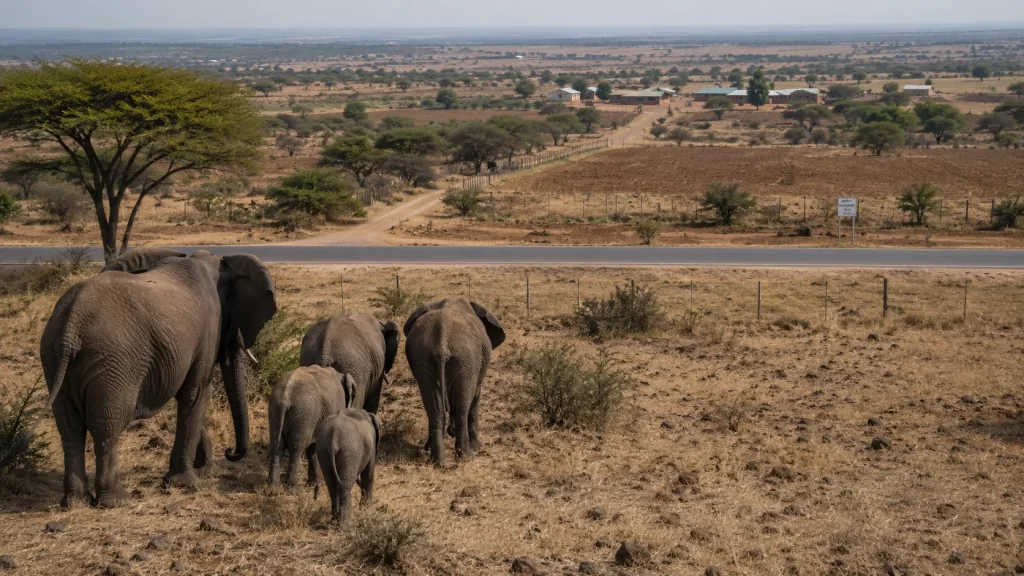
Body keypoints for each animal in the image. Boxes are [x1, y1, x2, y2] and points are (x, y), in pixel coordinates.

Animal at [39, 247, 277, 508]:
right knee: (108, 426)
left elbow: (189, 399)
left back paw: (74, 502)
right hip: (112, 363)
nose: (230, 452)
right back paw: (117, 500)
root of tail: (70, 327)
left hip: (53, 358)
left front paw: (202, 472)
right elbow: (196, 393)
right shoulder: (208, 328)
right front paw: (187, 483)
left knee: (69, 428)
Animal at [403, 298, 505, 467]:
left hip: (423, 358)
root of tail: (442, 342)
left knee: (434, 407)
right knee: (463, 405)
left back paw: (438, 462)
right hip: (467, 358)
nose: (451, 431)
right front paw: (478, 446)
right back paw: (467, 456)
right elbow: (475, 397)